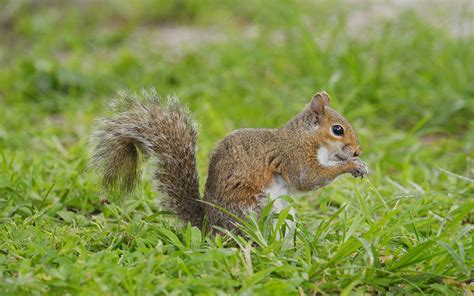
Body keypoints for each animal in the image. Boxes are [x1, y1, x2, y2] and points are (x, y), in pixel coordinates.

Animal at [90, 89, 370, 232]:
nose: (358, 152)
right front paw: (350, 166)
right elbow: (308, 179)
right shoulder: (294, 157)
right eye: (337, 130)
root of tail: (209, 229)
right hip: (254, 208)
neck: (306, 137)